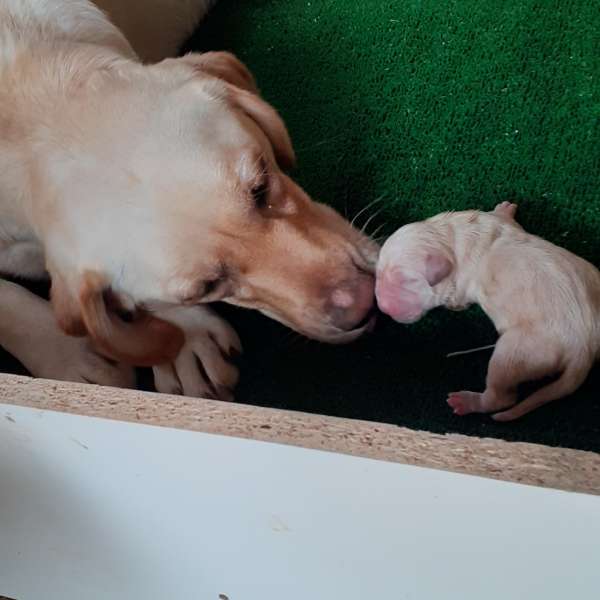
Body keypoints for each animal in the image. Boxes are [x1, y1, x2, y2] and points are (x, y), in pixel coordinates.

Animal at [375, 202, 600, 420]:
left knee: (502, 397)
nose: (382, 307)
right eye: (378, 273)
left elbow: (456, 300)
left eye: (406, 280)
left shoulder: (459, 288)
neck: (449, 235)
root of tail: (584, 349)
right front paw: (505, 207)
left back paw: (468, 401)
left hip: (516, 352)